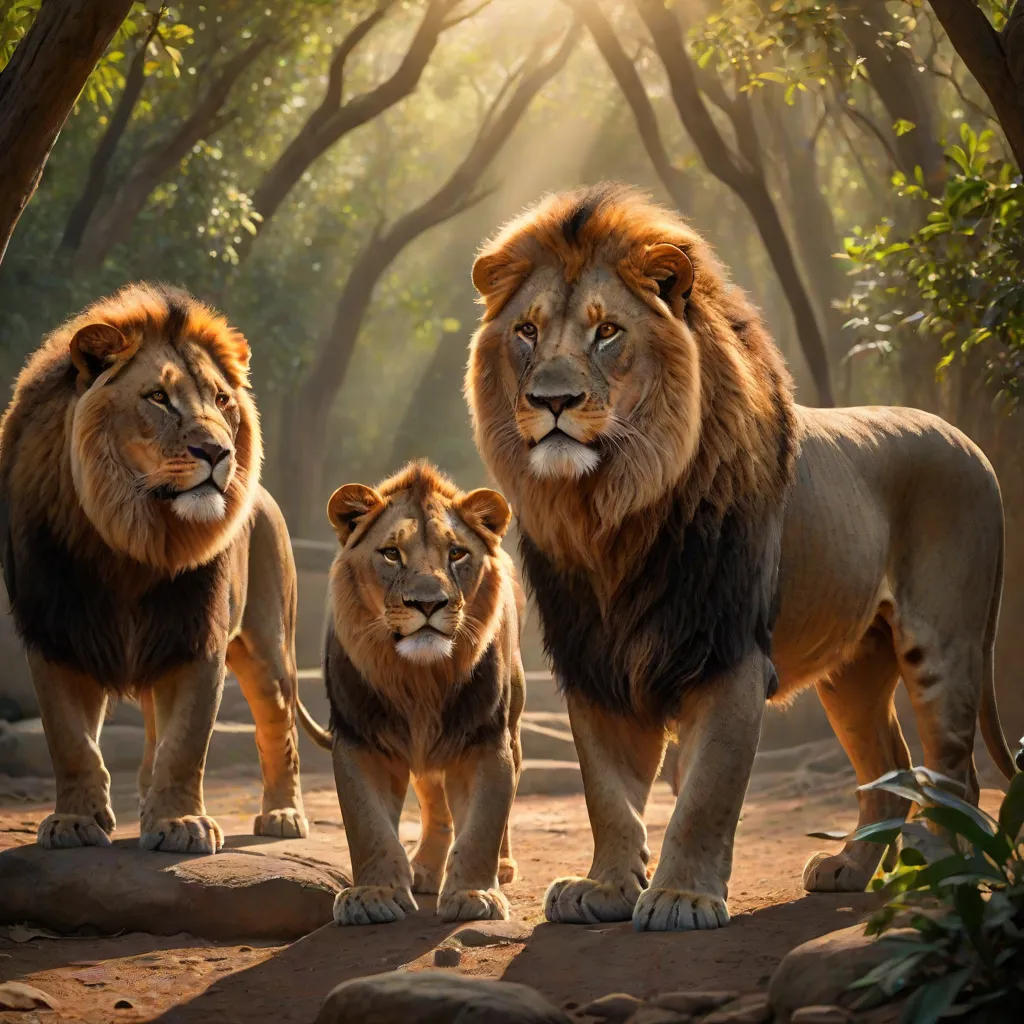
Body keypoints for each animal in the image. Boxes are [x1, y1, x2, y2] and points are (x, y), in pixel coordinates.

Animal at [0, 282, 319, 853]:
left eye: (221, 400)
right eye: (157, 398)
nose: (219, 452)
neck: (133, 535)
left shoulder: (194, 634)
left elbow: (186, 741)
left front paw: (180, 822)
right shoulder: (55, 630)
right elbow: (69, 739)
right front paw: (74, 822)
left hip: (268, 645)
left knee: (278, 729)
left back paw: (283, 815)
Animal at [301, 460, 524, 924]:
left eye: (456, 553)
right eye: (391, 553)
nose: (427, 603)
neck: (421, 680)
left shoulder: (486, 740)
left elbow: (484, 823)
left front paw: (475, 894)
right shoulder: (359, 740)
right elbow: (368, 825)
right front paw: (374, 895)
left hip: (511, 729)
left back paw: (503, 866)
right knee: (436, 807)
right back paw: (424, 870)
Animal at [465, 183, 1016, 932]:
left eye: (607, 333)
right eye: (526, 330)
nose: (552, 400)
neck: (612, 511)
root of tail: (972, 446)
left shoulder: (728, 652)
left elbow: (706, 792)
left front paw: (682, 898)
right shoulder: (594, 658)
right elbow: (607, 793)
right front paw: (604, 888)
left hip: (944, 640)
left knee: (954, 767)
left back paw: (937, 866)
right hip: (851, 667)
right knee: (889, 764)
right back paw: (849, 869)